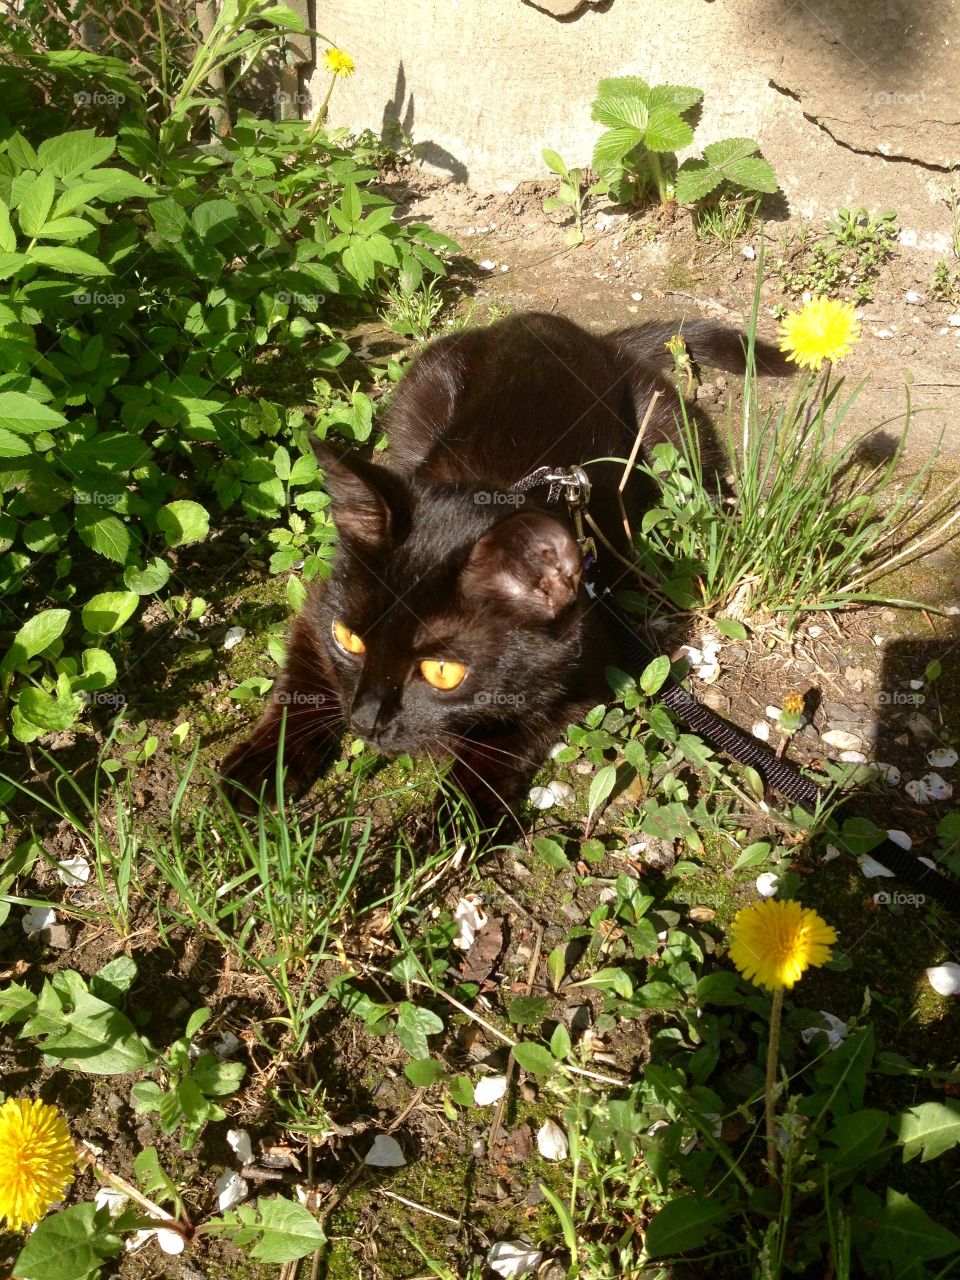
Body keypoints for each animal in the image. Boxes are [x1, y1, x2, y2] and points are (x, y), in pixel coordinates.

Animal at [224, 314, 788, 824]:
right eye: (349, 640)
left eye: (443, 672)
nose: (364, 722)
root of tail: (581, 333)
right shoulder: (319, 605)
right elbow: (302, 679)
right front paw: (263, 767)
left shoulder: (586, 666)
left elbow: (502, 740)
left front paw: (453, 825)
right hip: (421, 391)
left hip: (668, 427)